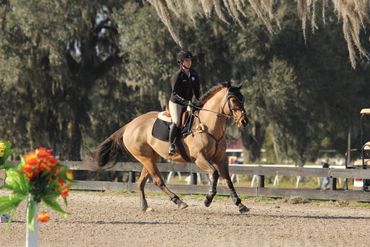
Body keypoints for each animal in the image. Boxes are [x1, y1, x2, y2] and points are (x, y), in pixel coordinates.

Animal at [97, 81, 250, 214]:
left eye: (243, 99)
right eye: (233, 100)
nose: (244, 121)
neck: (208, 126)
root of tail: (130, 125)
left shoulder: (221, 158)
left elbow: (228, 180)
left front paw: (240, 204)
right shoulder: (199, 158)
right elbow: (214, 173)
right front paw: (208, 199)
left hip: (151, 158)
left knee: (141, 182)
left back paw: (145, 207)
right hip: (145, 158)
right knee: (158, 181)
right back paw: (179, 202)